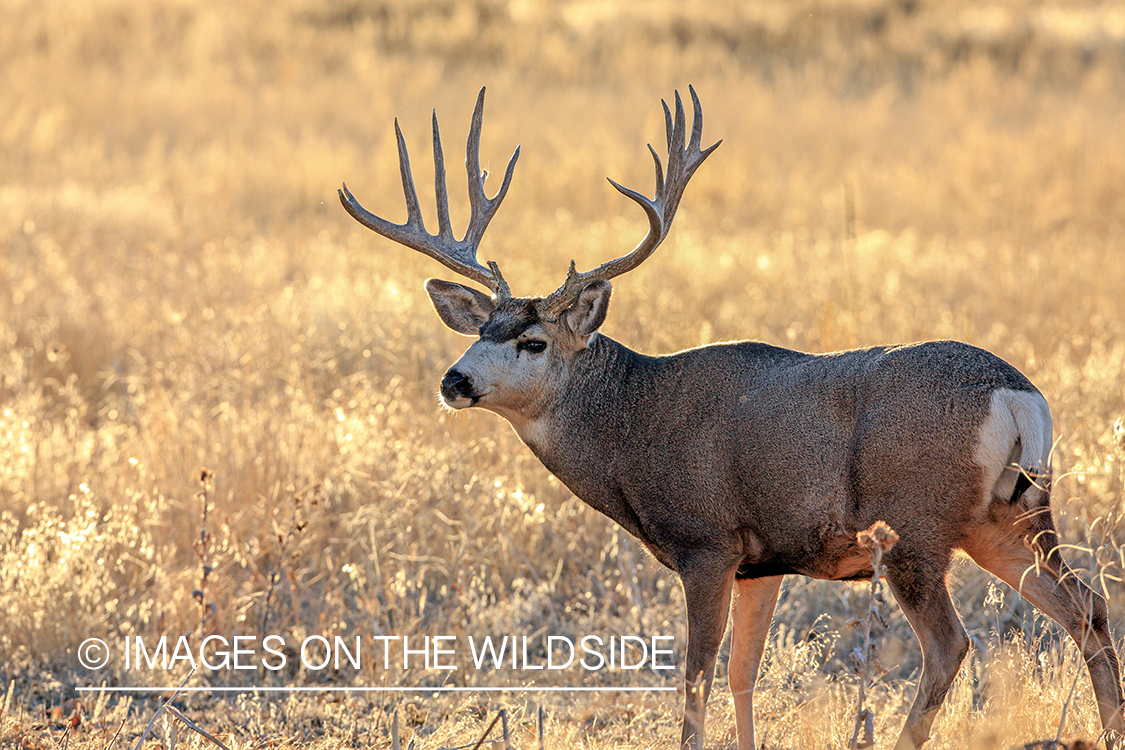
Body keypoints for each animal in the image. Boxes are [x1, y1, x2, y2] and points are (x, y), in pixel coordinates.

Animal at [339, 87, 1124, 750]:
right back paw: (1109, 728)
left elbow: (696, 678)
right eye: (480, 330)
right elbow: (746, 674)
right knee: (1086, 606)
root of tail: (1014, 392)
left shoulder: (705, 540)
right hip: (1010, 517)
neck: (632, 421)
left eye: (532, 341)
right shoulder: (764, 558)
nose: (455, 380)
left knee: (950, 645)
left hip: (915, 522)